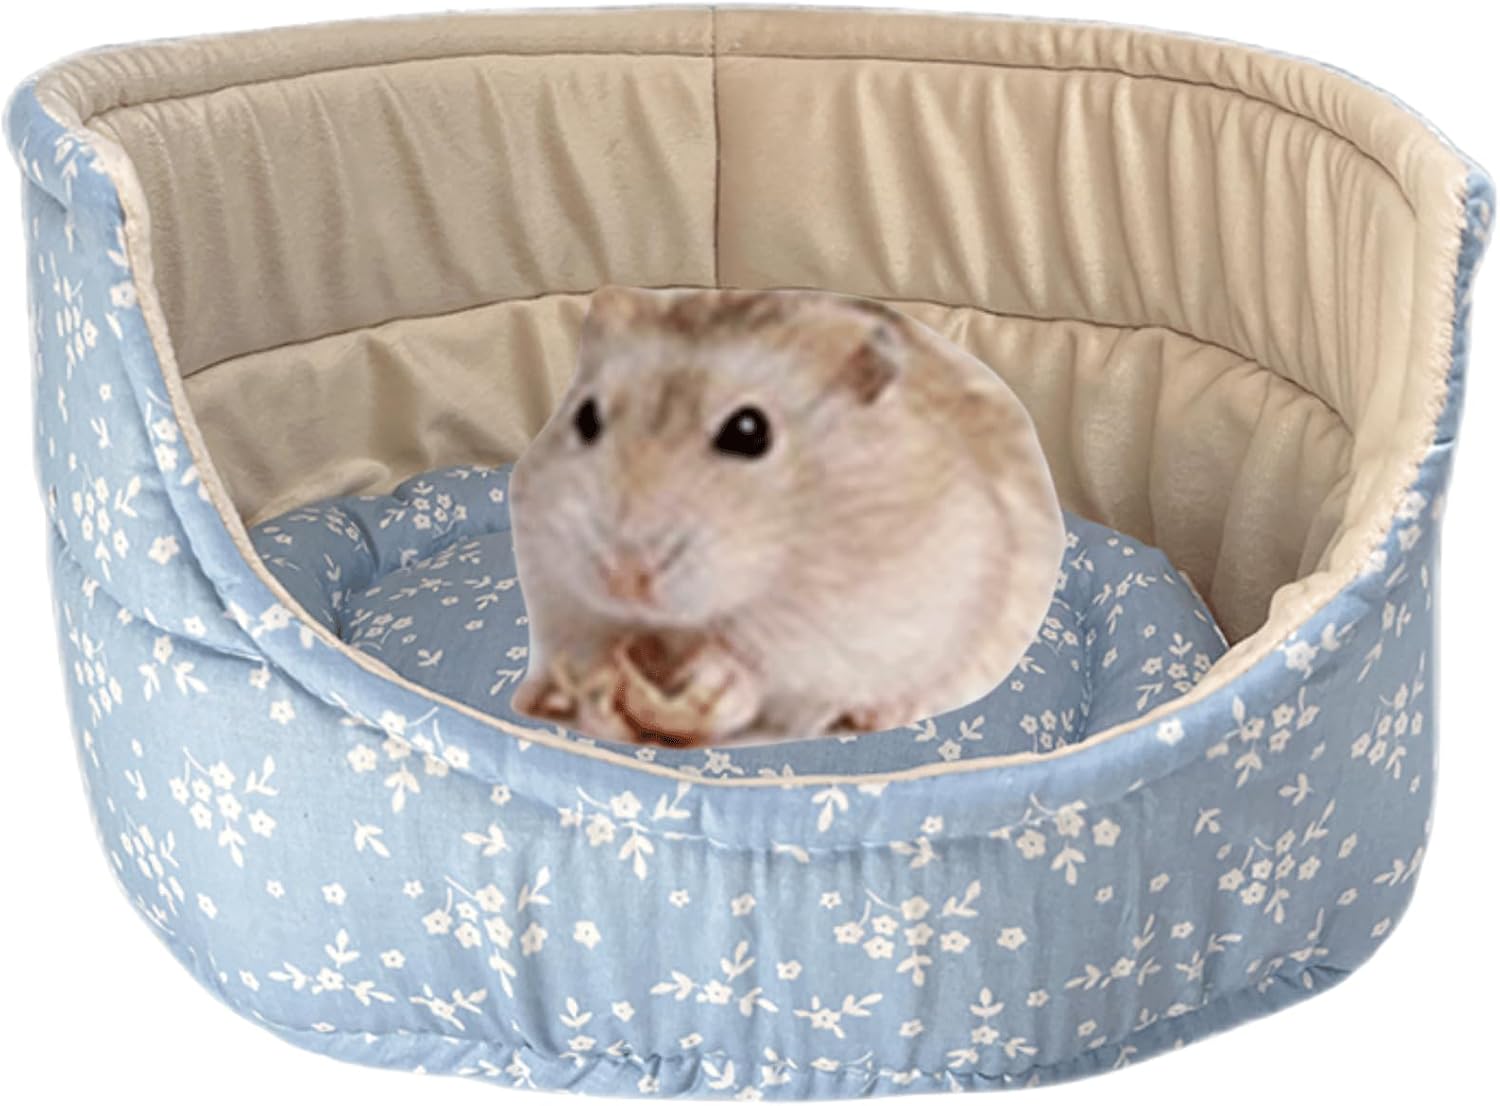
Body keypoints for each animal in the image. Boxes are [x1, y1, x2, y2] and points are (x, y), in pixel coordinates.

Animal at [509, 285, 1065, 747]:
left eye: (749, 431)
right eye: (585, 418)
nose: (624, 578)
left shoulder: (852, 626)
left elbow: (762, 670)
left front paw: (711, 680)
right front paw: (584, 692)